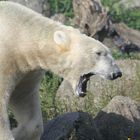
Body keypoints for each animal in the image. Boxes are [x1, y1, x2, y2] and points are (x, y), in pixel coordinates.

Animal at [0, 1, 122, 140]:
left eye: (109, 52)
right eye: (98, 53)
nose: (117, 73)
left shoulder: (26, 70)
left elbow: (24, 97)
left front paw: (17, 132)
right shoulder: (6, 60)